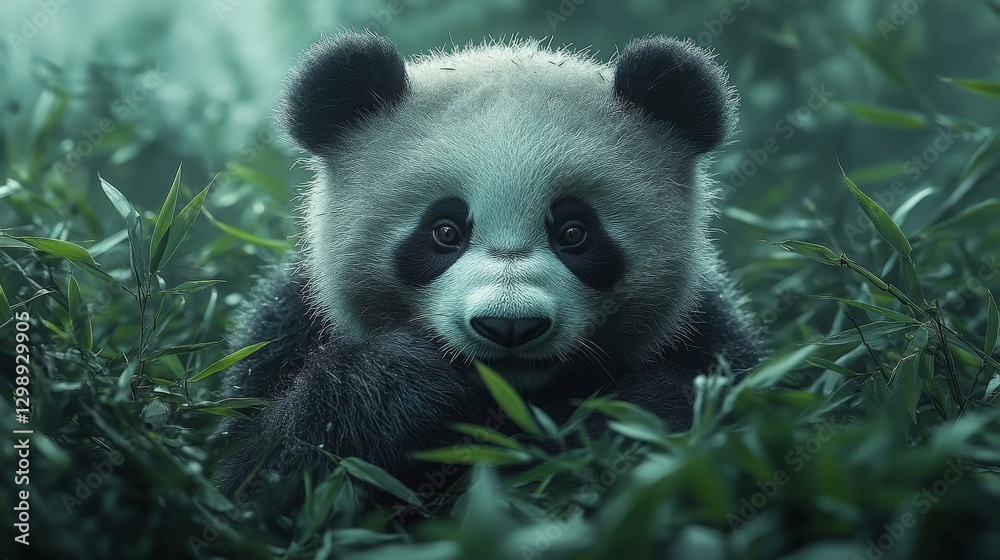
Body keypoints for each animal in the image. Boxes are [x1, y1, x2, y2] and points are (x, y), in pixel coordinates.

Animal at [214, 31, 762, 498]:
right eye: (444, 232)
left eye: (574, 233)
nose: (510, 326)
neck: (513, 398)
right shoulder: (287, 329)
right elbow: (260, 472)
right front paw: (403, 385)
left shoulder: (708, 332)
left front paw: (630, 418)